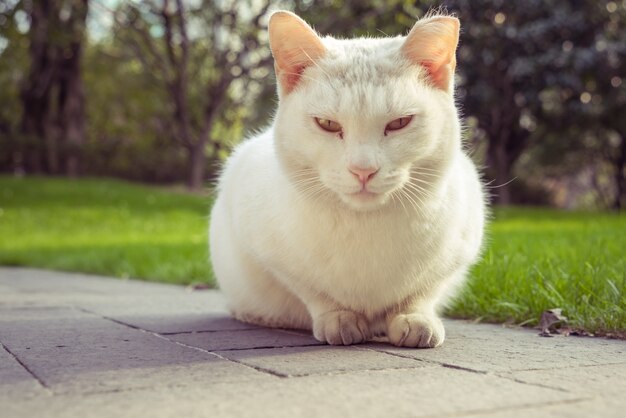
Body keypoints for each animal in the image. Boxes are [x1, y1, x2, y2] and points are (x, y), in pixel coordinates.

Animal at [208, 11, 482, 348]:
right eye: (327, 124)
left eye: (399, 123)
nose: (363, 170)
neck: (365, 226)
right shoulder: (270, 253)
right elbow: (313, 291)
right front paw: (338, 317)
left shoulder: (458, 251)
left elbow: (422, 291)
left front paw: (414, 317)